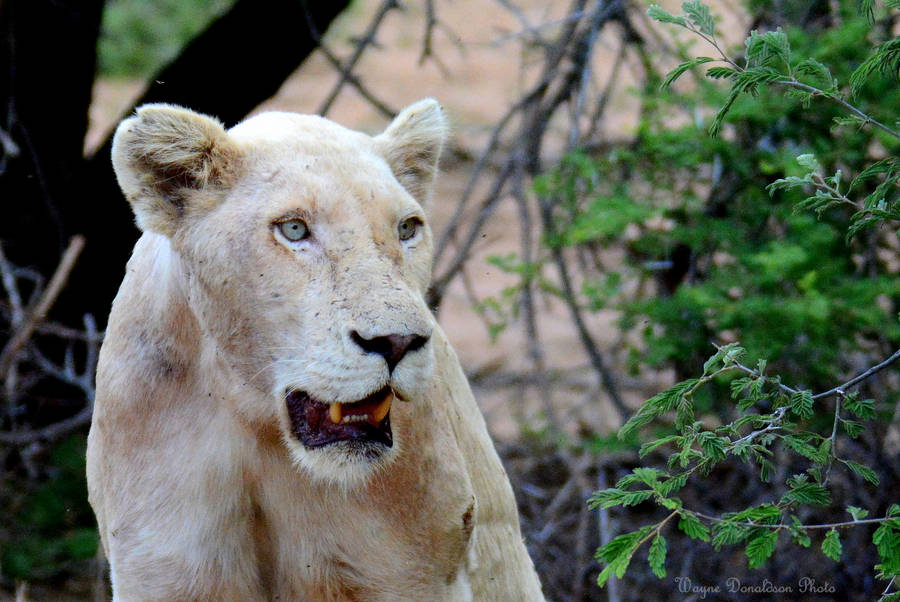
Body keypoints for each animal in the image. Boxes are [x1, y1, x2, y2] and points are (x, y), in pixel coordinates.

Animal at [86, 99, 545, 601]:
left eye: (407, 229)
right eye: (293, 229)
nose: (398, 342)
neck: (258, 425)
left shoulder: (410, 567)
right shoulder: (165, 568)